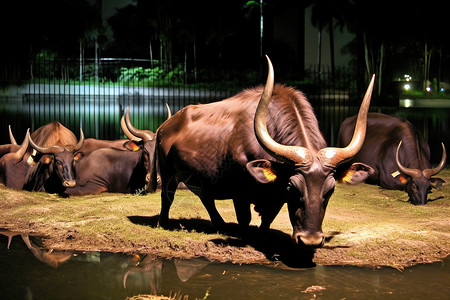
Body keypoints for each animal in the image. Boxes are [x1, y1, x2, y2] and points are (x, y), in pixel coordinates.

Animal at [156, 56, 374, 248]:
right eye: (293, 188)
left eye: (330, 191)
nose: (310, 241)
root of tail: (167, 125)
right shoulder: (241, 193)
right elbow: (245, 218)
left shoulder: (276, 196)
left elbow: (267, 219)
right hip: (168, 173)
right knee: (168, 196)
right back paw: (163, 222)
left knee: (206, 197)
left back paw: (220, 224)